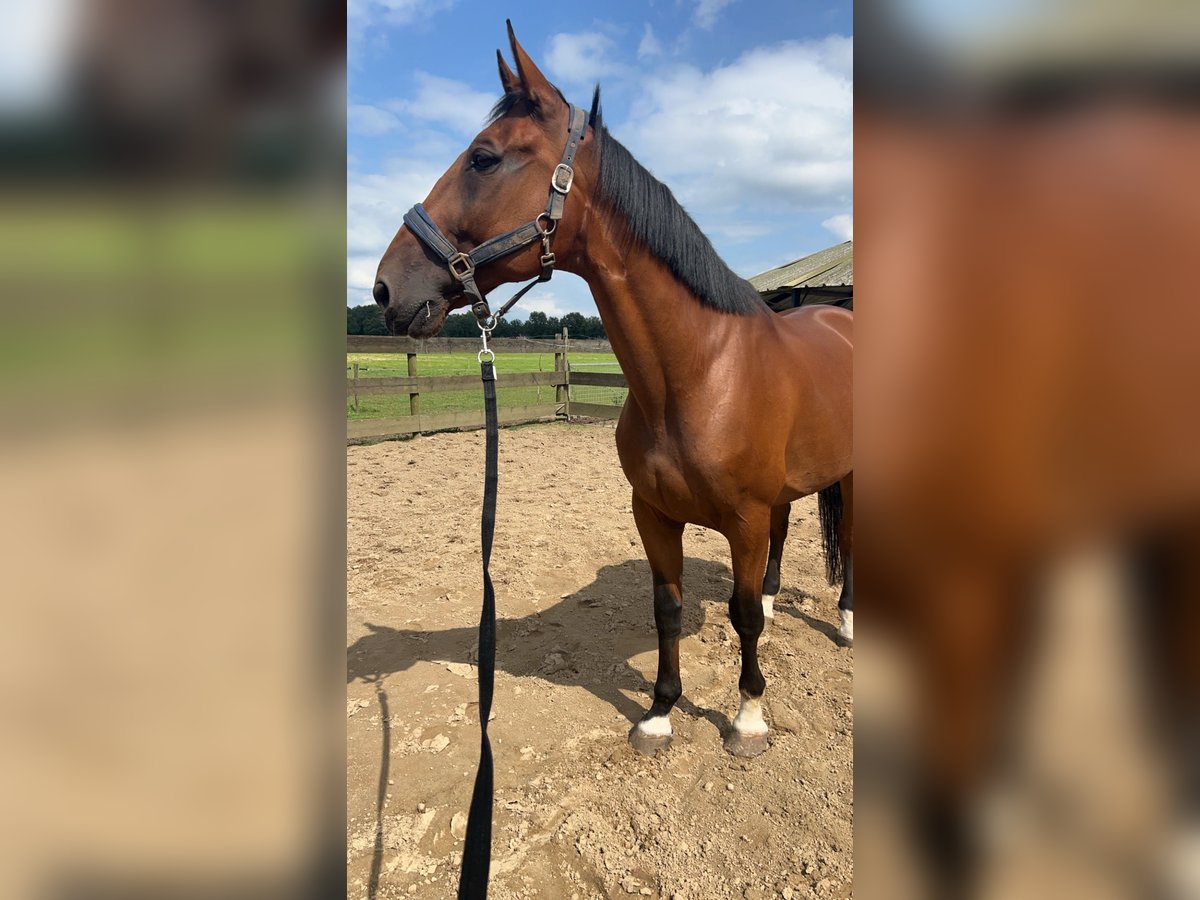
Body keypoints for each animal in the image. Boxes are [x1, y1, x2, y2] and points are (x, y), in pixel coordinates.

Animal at [374, 24, 854, 758]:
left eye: (483, 159)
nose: (384, 289)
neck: (701, 374)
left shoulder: (741, 518)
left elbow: (740, 615)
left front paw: (747, 717)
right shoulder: (653, 514)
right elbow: (669, 606)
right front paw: (659, 713)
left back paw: (849, 622)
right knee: (782, 538)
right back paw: (779, 602)